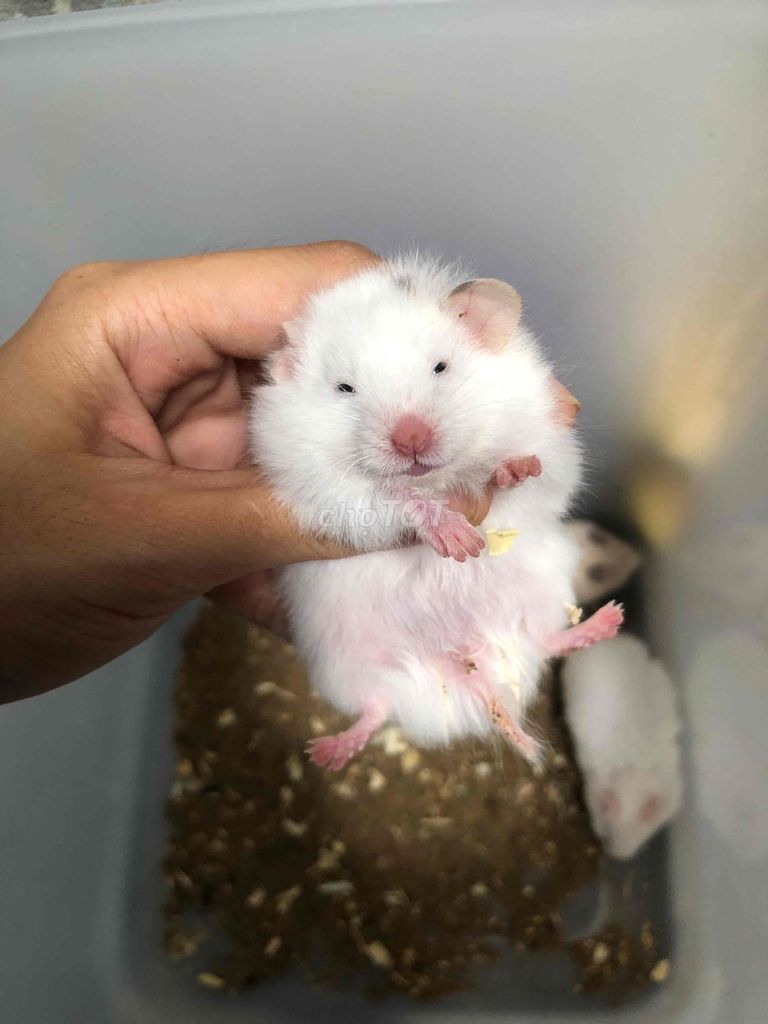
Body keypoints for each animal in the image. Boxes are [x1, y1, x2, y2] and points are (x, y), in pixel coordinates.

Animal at [250, 254, 623, 770]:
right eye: (344, 387)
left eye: (440, 367)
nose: (411, 438)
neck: (433, 476)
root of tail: (463, 663)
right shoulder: (331, 495)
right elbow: (401, 500)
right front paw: (461, 543)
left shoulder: (553, 453)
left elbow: (514, 477)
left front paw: (514, 469)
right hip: (339, 661)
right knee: (374, 708)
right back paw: (328, 753)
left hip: (546, 588)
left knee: (547, 640)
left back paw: (609, 619)